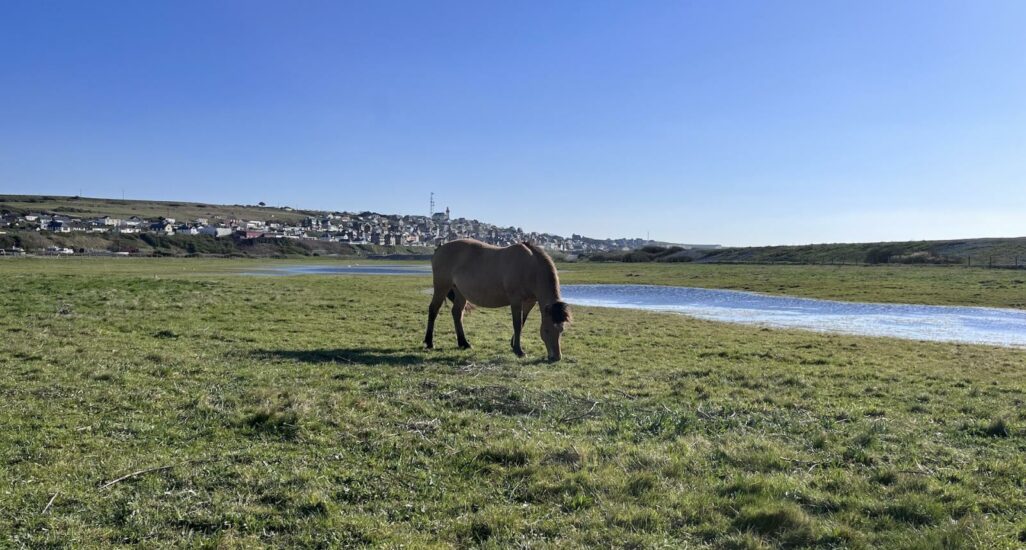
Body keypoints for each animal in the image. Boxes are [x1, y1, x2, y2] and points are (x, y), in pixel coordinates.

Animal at [423, 239, 572, 361]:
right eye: (546, 330)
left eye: (561, 330)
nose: (556, 357)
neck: (531, 268)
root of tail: (440, 248)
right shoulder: (516, 301)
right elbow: (517, 324)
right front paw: (519, 351)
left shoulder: (530, 302)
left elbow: (522, 323)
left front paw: (513, 345)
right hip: (442, 286)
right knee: (433, 310)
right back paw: (429, 343)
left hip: (460, 292)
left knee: (457, 313)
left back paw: (464, 343)